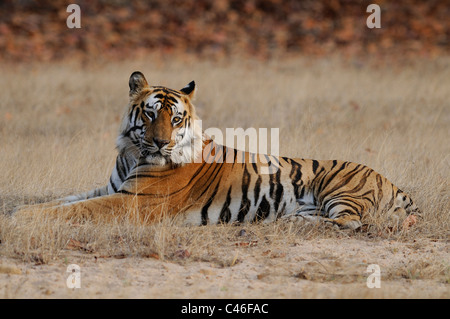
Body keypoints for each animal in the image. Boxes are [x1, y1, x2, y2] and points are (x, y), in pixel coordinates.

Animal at [14, 71, 422, 229]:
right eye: (150, 114)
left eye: (177, 118)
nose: (161, 142)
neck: (132, 150)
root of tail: (393, 183)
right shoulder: (113, 189)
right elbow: (64, 201)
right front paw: (21, 210)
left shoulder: (133, 201)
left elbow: (75, 210)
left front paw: (22, 217)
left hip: (338, 189)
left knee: (352, 222)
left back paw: (290, 222)